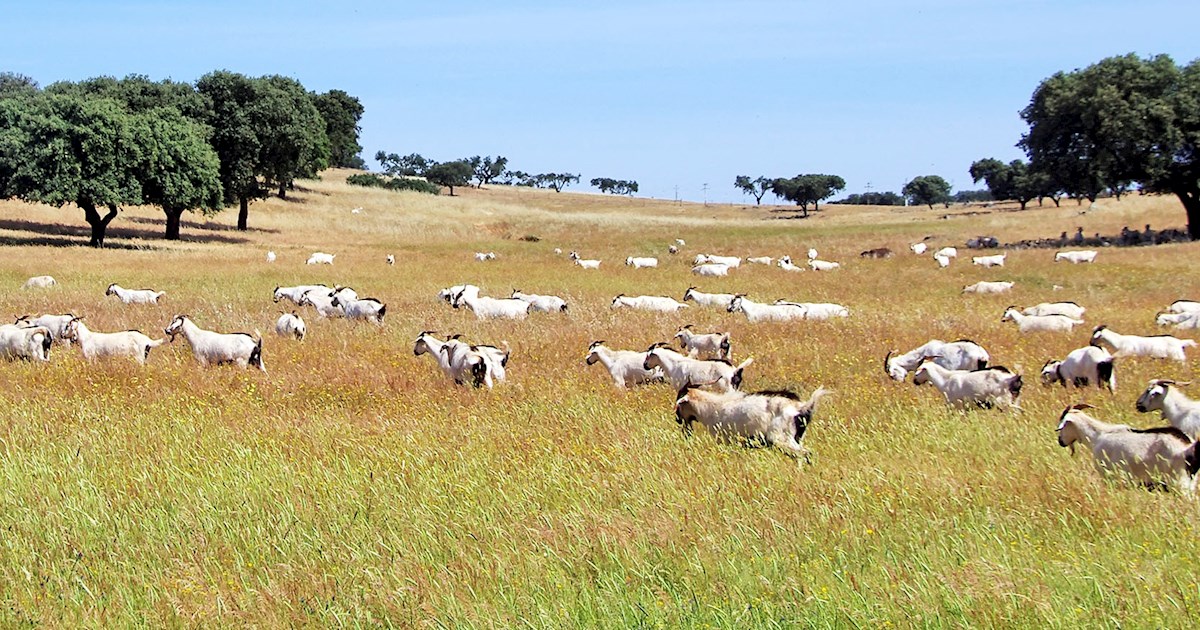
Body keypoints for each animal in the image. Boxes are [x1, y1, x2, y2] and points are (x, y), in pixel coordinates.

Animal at [672, 386, 830, 458]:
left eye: (679, 404)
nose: (677, 420)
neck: (712, 408)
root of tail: (801, 407)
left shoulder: (726, 440)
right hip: (796, 437)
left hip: (782, 438)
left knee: (805, 454)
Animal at [1056, 403, 1195, 492]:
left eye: (1062, 426)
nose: (1060, 441)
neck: (1098, 435)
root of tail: (1187, 444)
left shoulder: (1112, 477)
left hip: (1180, 483)